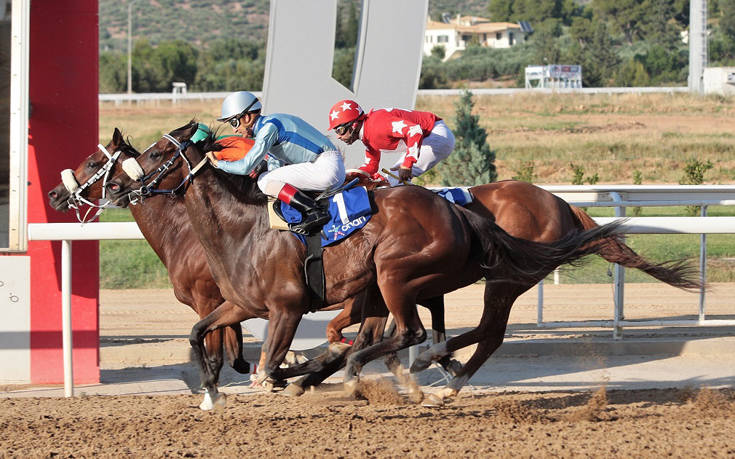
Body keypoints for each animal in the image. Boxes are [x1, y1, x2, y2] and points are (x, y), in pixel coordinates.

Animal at [103, 122, 628, 406]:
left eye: (155, 153)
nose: (121, 187)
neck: (243, 227)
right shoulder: (240, 304)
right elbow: (201, 336)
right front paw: (213, 393)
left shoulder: (288, 307)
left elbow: (270, 365)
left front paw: (297, 376)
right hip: (397, 281)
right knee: (437, 334)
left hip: (409, 275)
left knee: (434, 333)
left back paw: (419, 371)